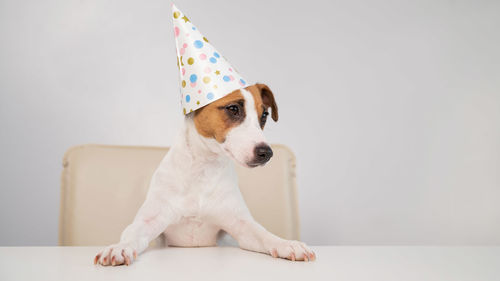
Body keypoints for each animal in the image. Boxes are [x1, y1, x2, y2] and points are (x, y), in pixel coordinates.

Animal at [93, 83, 316, 264]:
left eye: (264, 116)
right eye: (233, 108)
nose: (266, 153)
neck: (203, 169)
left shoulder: (242, 227)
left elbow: (264, 234)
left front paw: (287, 244)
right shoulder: (150, 221)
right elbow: (132, 234)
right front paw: (119, 248)